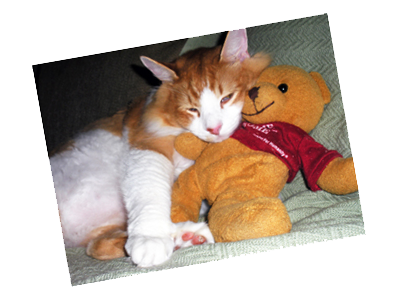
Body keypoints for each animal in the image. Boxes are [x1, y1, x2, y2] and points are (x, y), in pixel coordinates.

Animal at [48, 28, 270, 268]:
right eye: (192, 109)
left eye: (226, 98)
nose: (214, 128)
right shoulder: (147, 143)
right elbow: (149, 192)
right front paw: (150, 239)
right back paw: (183, 235)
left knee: (98, 246)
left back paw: (186, 237)